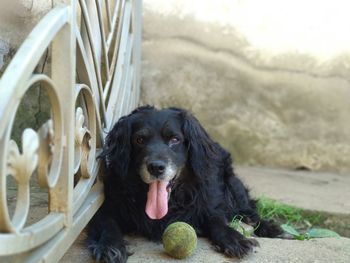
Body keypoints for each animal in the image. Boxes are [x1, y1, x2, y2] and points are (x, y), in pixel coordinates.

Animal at [87, 106, 282, 262]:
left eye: (175, 139)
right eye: (139, 140)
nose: (156, 167)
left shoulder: (207, 205)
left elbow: (216, 220)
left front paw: (234, 238)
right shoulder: (107, 207)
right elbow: (108, 224)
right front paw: (110, 246)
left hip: (232, 185)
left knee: (248, 210)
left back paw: (271, 228)